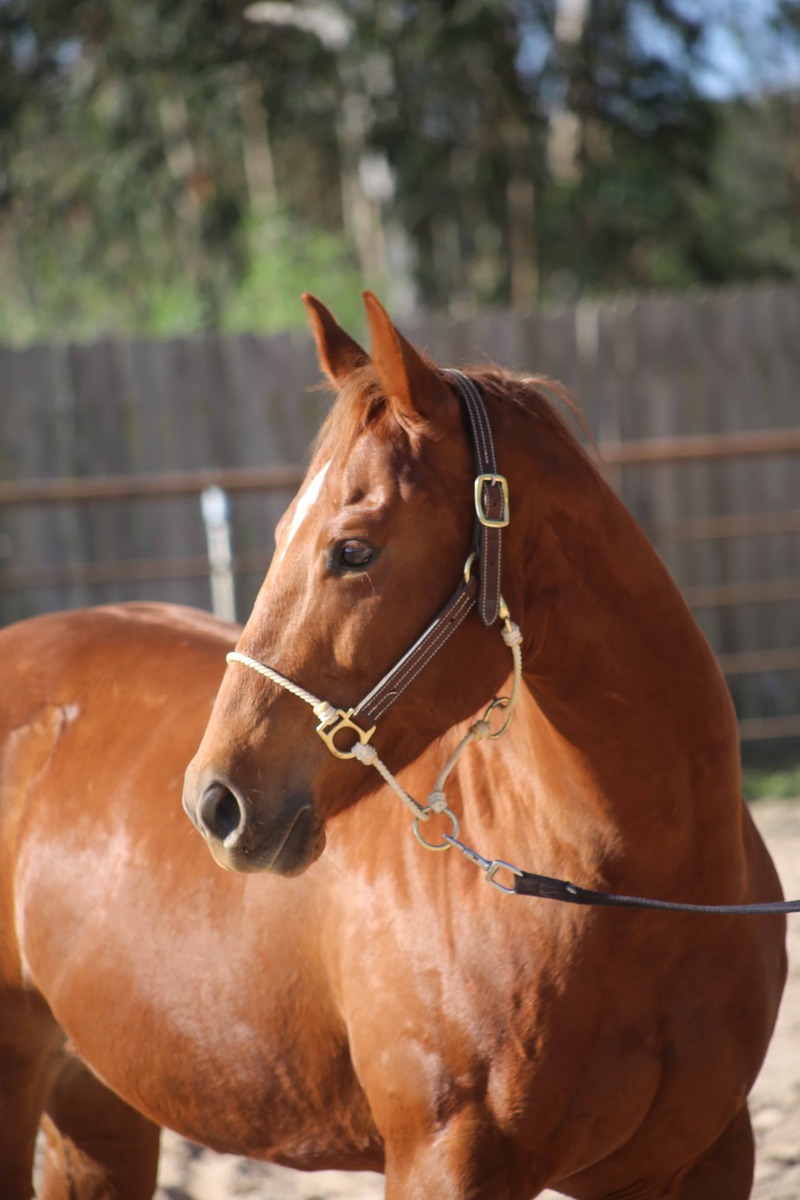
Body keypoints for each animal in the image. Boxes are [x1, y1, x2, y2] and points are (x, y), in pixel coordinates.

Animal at [0, 292, 787, 1200]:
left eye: (353, 549)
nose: (214, 803)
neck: (633, 899)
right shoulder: (444, 1161)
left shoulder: (706, 1158)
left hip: (98, 1106)